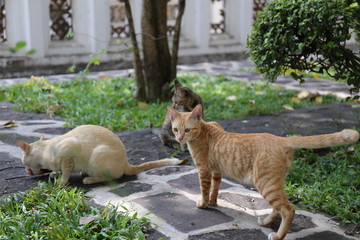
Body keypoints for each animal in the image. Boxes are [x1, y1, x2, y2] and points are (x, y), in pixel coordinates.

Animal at [17, 124, 183, 185]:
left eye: (23, 162)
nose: (25, 170)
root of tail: (125, 162)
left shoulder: (68, 151)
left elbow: (66, 172)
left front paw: (61, 182)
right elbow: (58, 170)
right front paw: (53, 173)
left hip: (98, 154)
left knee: (112, 177)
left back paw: (89, 179)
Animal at [168, 105, 360, 240]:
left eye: (187, 130)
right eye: (175, 129)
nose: (179, 138)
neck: (205, 128)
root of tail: (279, 139)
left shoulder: (204, 170)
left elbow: (204, 189)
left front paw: (203, 203)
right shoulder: (216, 171)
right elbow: (215, 188)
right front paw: (213, 202)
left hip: (265, 183)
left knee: (288, 210)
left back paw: (278, 236)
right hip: (273, 182)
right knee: (279, 207)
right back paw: (267, 223)